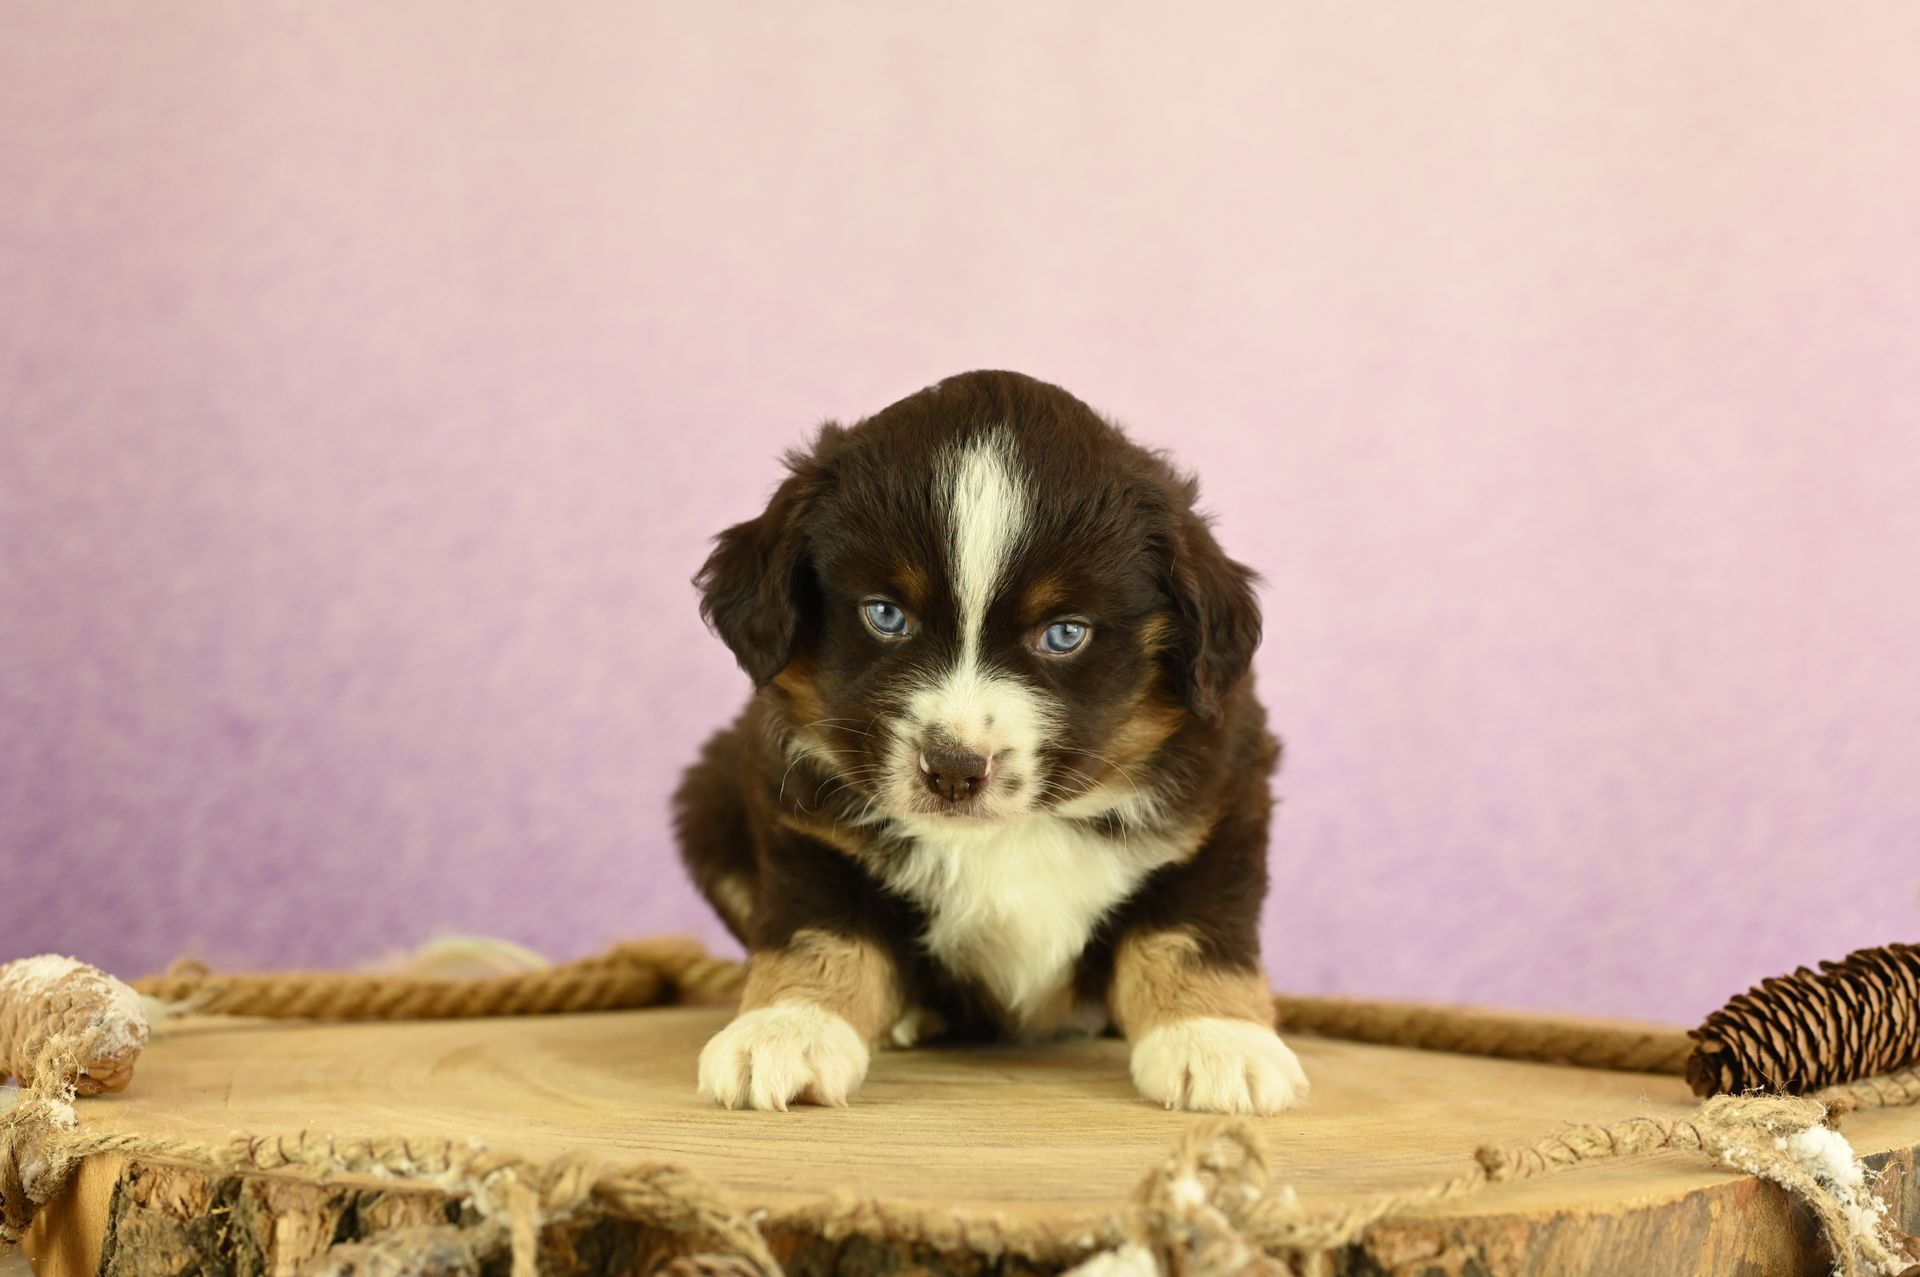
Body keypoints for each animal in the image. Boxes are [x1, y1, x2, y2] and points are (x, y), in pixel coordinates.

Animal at [674, 370, 1306, 1114]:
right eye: (885, 614)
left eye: (1064, 633)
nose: (953, 769)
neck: (1008, 834)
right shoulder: (808, 818)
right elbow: (820, 931)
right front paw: (786, 1030)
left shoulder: (1219, 805)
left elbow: (1192, 930)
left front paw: (1216, 1038)